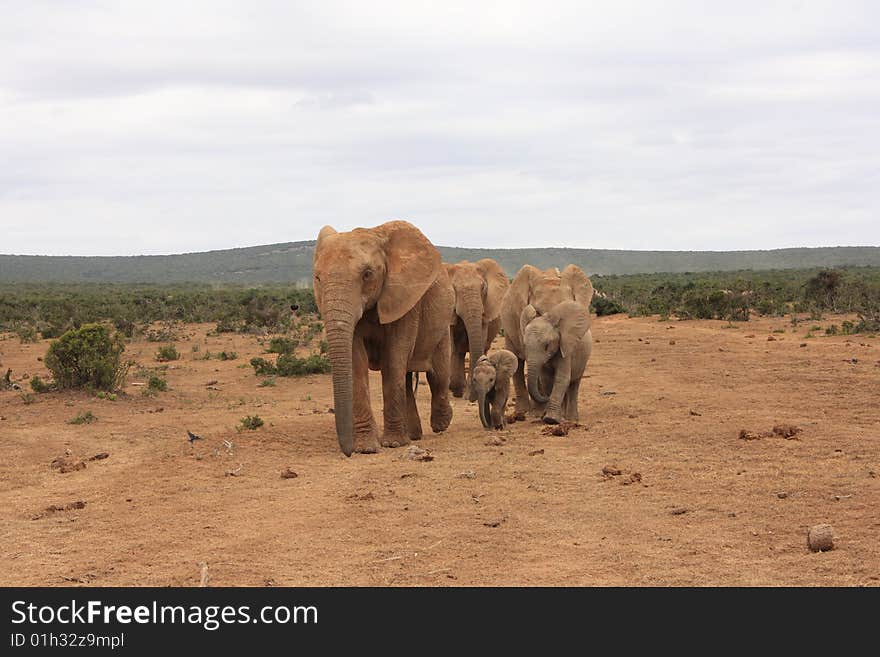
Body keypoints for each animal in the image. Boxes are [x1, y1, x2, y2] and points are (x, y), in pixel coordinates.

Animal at [312, 220, 454, 456]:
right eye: (318, 278)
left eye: (367, 274)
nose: (347, 452)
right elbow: (356, 360)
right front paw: (366, 448)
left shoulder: (405, 298)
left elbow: (394, 358)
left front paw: (393, 444)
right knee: (408, 377)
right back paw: (413, 435)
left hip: (443, 323)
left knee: (438, 375)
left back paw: (440, 424)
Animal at [444, 258, 512, 398]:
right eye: (454, 289)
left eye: (483, 288)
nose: (472, 397)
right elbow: (452, 343)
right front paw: (456, 391)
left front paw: (468, 394)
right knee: (458, 351)